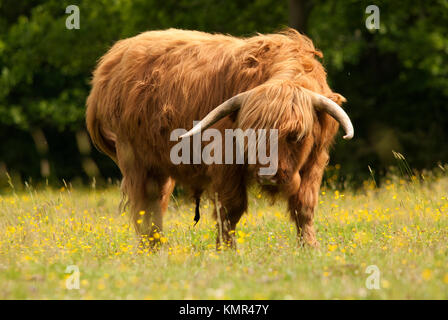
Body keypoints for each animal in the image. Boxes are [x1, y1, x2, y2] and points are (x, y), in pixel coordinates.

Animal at [86, 28, 354, 248]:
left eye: (296, 136)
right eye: (250, 136)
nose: (268, 175)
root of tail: (113, 58)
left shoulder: (315, 161)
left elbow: (304, 207)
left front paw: (309, 247)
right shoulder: (226, 162)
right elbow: (230, 209)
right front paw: (226, 250)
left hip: (158, 165)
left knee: (156, 202)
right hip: (133, 156)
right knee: (145, 207)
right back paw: (151, 249)